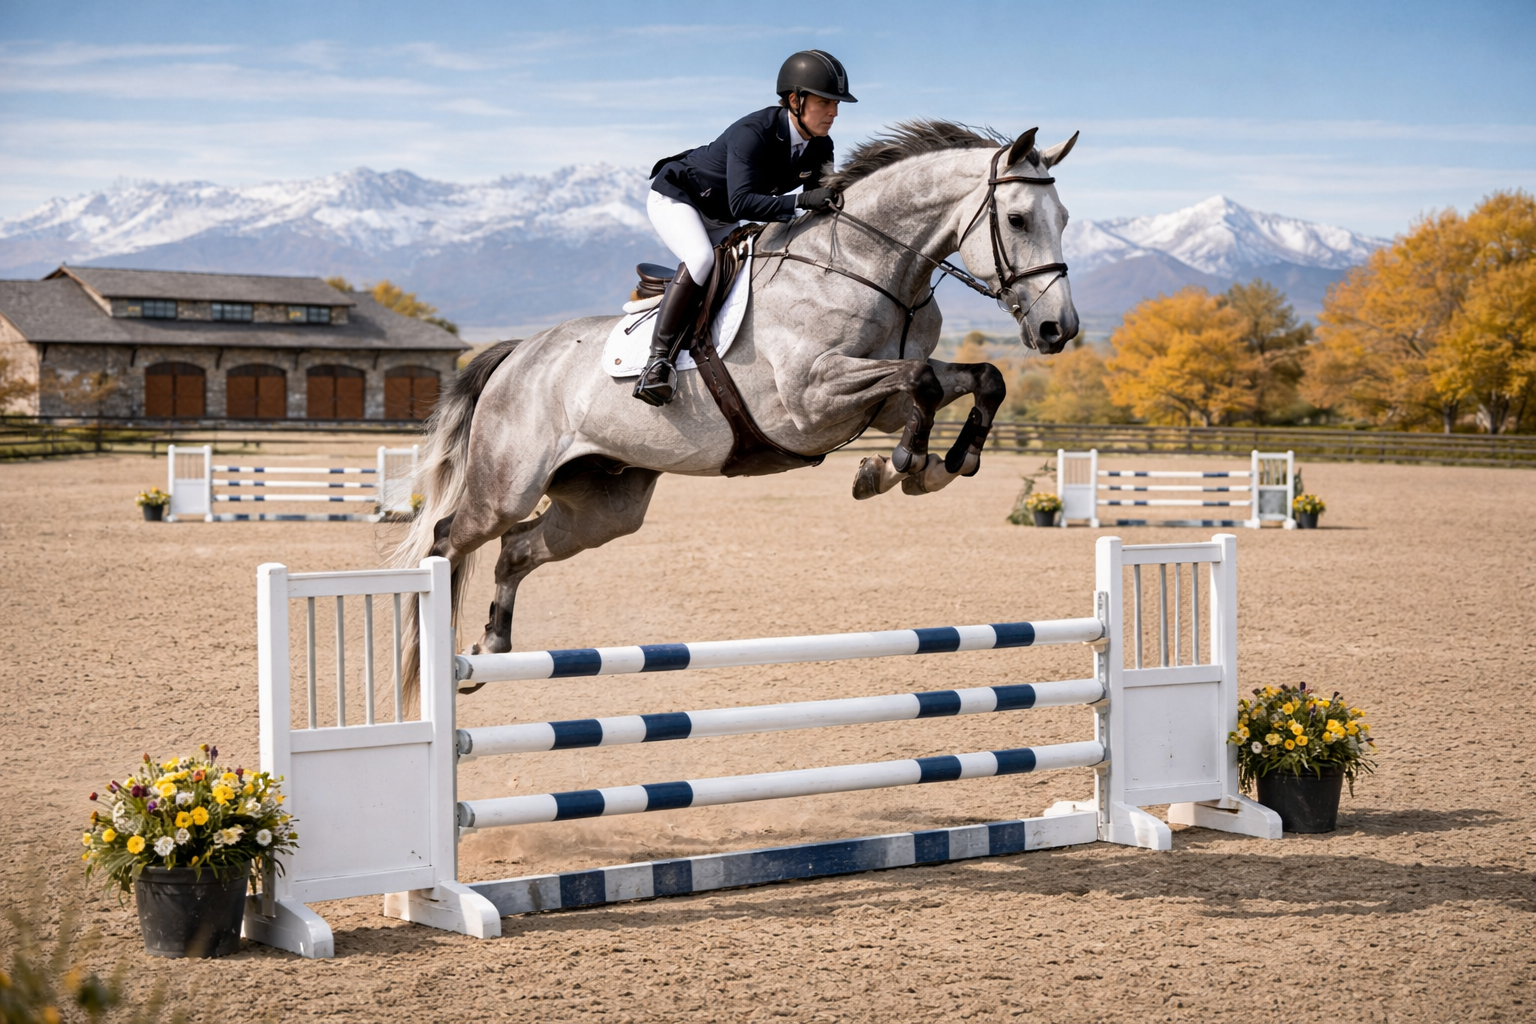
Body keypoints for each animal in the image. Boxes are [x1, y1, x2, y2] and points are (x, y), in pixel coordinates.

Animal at [393, 120, 1080, 689]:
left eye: (1066, 218)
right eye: (1019, 220)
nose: (1059, 330)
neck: (869, 268)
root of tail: (517, 355)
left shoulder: (871, 402)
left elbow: (976, 379)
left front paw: (927, 466)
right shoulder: (811, 399)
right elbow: (922, 384)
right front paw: (904, 465)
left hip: (604, 504)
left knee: (517, 548)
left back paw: (490, 648)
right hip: (505, 485)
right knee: (449, 539)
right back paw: (436, 660)